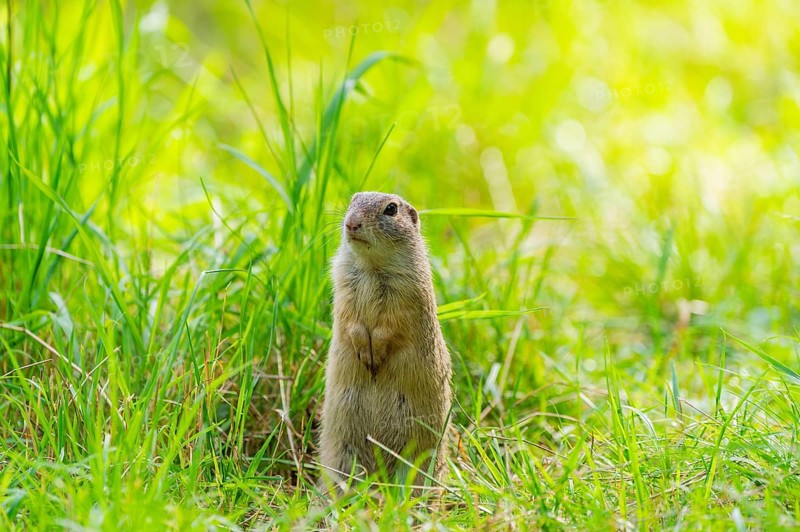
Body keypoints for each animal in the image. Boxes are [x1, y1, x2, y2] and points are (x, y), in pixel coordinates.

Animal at [318, 191, 453, 493]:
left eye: (391, 209)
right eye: (353, 200)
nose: (351, 223)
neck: (371, 265)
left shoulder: (406, 295)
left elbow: (390, 326)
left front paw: (375, 354)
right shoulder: (343, 286)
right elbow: (350, 319)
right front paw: (365, 354)